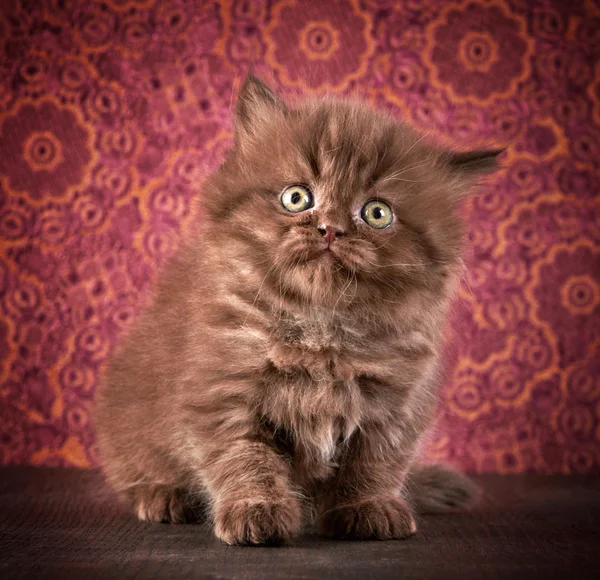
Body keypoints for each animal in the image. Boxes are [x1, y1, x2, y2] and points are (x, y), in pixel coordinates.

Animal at [96, 76, 502, 544]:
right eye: (296, 198)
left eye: (377, 213)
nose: (330, 229)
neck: (322, 329)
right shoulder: (221, 391)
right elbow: (245, 457)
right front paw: (257, 510)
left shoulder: (395, 402)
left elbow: (375, 462)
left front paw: (368, 507)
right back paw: (164, 495)